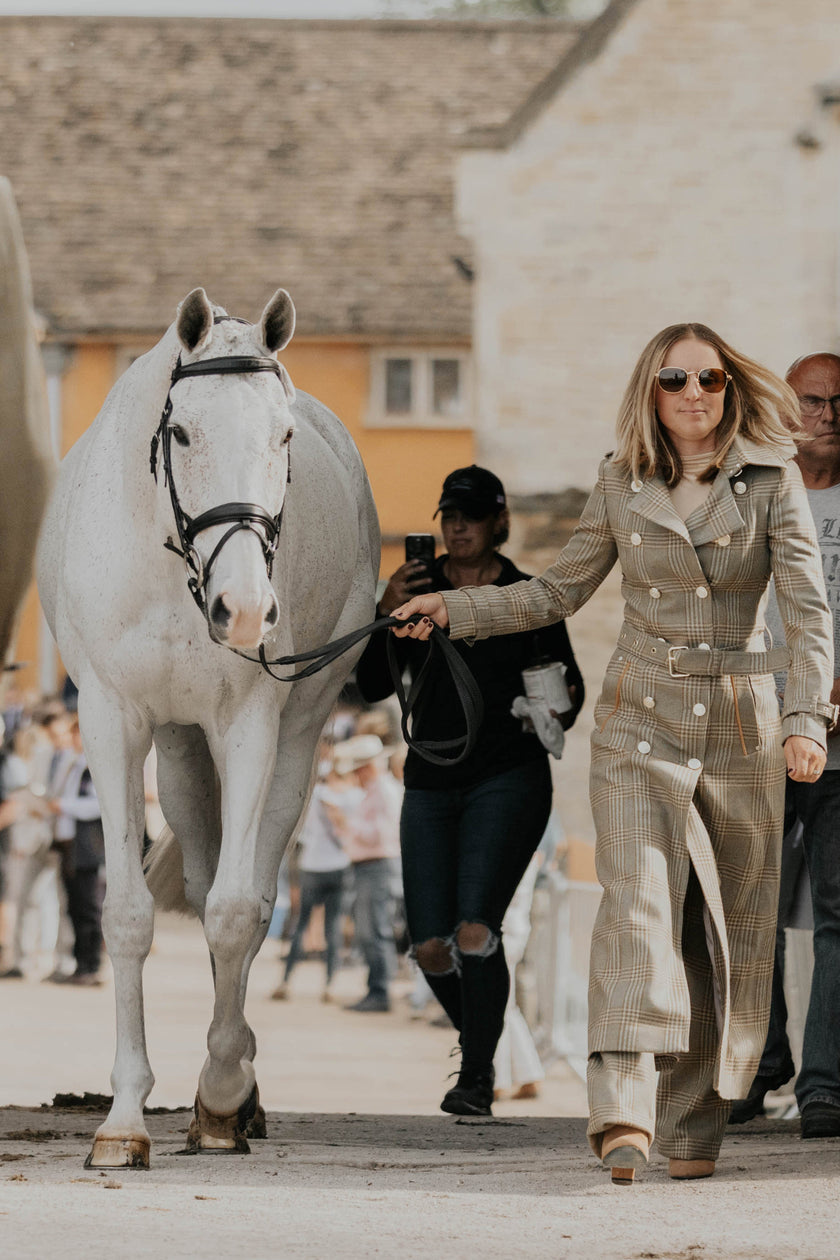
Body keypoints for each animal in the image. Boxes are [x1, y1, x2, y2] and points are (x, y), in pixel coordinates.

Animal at [37, 289, 380, 1164]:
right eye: (184, 432)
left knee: (254, 897)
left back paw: (236, 1087)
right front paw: (124, 1119)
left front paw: (222, 1094)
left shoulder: (253, 719)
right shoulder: (112, 720)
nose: (246, 610)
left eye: (283, 436)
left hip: (296, 736)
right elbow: (128, 915)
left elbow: (234, 911)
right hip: (181, 751)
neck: (174, 574)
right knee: (197, 874)